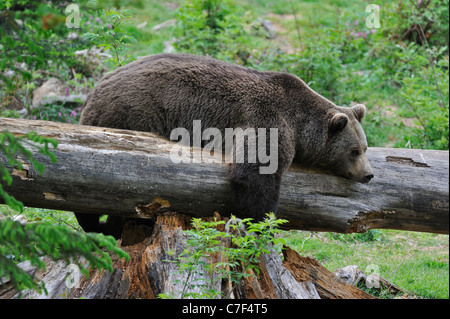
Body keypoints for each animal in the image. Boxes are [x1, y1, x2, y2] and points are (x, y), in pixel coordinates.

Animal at [75, 53, 374, 236]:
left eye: (365, 148)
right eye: (354, 151)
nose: (369, 174)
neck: (301, 124)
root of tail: (94, 93)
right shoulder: (267, 119)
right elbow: (255, 174)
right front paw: (261, 221)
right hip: (134, 114)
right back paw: (104, 225)